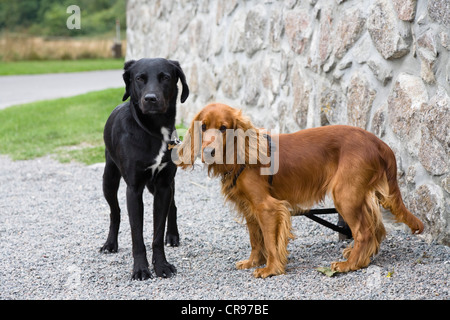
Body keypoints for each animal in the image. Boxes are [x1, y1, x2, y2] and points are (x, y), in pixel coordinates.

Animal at [99, 58, 189, 280]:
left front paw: (162, 265)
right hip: (109, 179)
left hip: (162, 185)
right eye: (139, 78)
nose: (150, 99)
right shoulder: (134, 189)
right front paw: (140, 269)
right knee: (115, 212)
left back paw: (172, 235)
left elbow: (157, 232)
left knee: (173, 207)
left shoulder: (164, 186)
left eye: (165, 77)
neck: (154, 132)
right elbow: (137, 235)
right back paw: (110, 243)